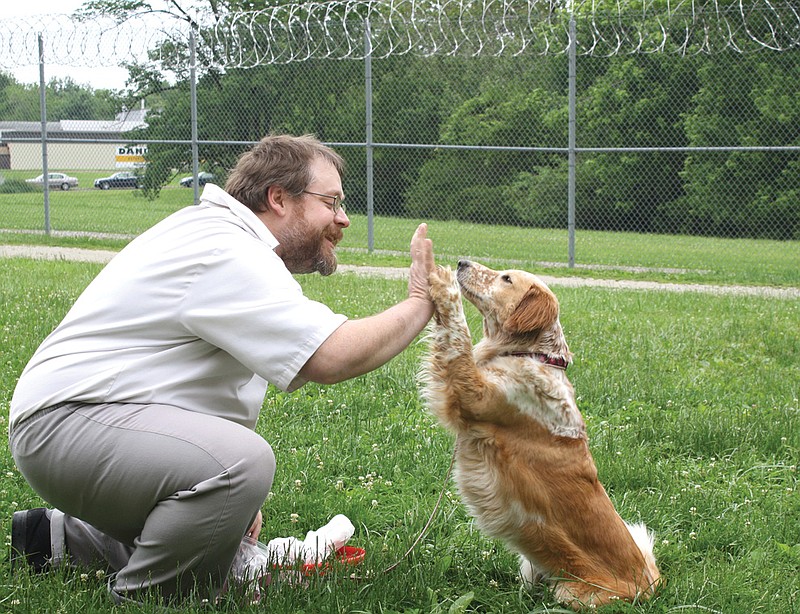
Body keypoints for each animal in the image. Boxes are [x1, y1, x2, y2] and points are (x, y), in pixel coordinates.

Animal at [422, 260, 660, 612]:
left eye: (506, 278)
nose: (462, 263)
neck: (533, 355)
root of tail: (651, 582)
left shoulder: (472, 394)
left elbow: (458, 334)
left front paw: (444, 284)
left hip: (572, 593)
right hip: (529, 565)